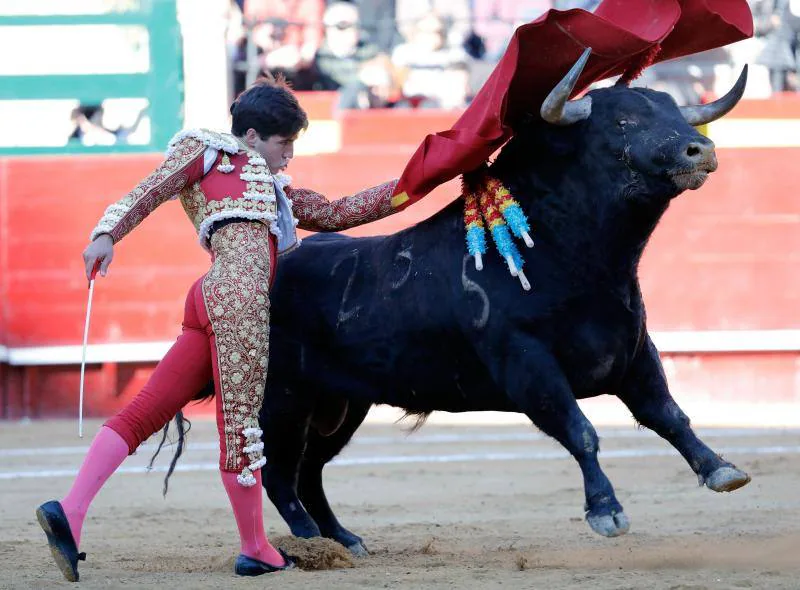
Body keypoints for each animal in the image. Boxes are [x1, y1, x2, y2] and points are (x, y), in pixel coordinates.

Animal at [245, 57, 756, 552]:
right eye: (622, 122)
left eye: (677, 114)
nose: (701, 149)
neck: (576, 258)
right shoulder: (526, 362)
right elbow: (581, 429)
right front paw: (606, 511)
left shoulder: (633, 352)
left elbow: (668, 415)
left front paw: (721, 469)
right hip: (283, 397)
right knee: (277, 471)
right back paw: (306, 540)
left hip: (343, 402)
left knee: (310, 470)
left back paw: (345, 540)